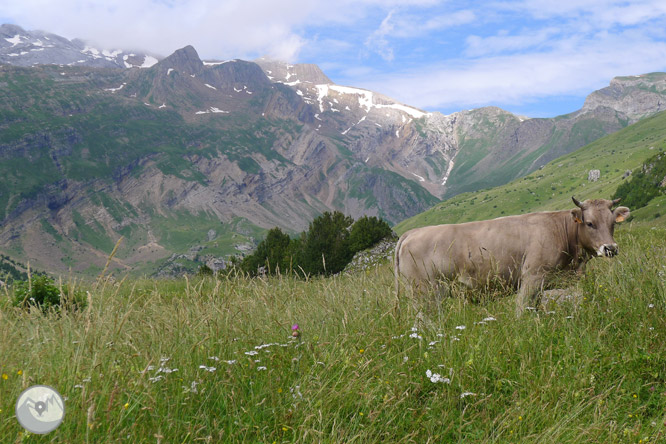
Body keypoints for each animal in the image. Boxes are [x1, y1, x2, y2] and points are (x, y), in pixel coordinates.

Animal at [394, 196, 628, 314]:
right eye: (590, 223)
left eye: (612, 223)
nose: (610, 248)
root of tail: (412, 232)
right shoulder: (532, 277)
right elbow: (522, 310)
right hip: (425, 292)